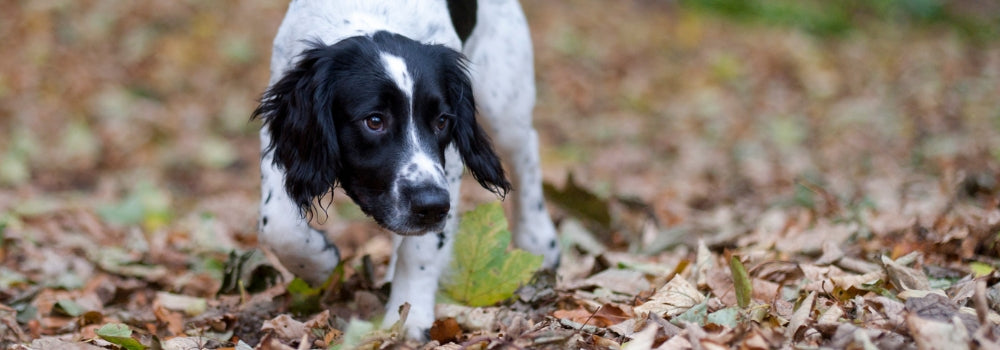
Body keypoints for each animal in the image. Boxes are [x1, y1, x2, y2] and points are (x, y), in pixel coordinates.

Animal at [250, 0, 560, 340]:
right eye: (374, 120)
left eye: (442, 121)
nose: (432, 207)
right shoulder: (284, 135)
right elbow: (279, 227)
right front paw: (321, 265)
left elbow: (422, 248)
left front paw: (410, 316)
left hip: (503, 98)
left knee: (526, 149)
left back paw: (538, 239)